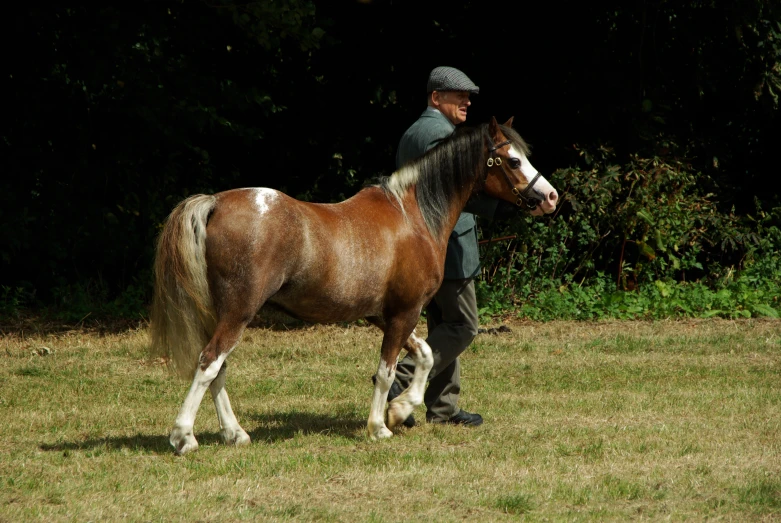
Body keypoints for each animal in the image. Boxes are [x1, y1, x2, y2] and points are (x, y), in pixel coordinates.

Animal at [149, 114, 556, 454]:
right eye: (513, 161)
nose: (550, 196)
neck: (413, 216)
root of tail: (215, 202)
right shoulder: (405, 312)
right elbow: (387, 370)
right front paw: (380, 426)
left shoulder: (384, 314)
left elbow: (425, 355)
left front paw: (399, 409)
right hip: (238, 312)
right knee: (209, 362)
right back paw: (183, 437)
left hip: (221, 313)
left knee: (218, 370)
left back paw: (235, 434)